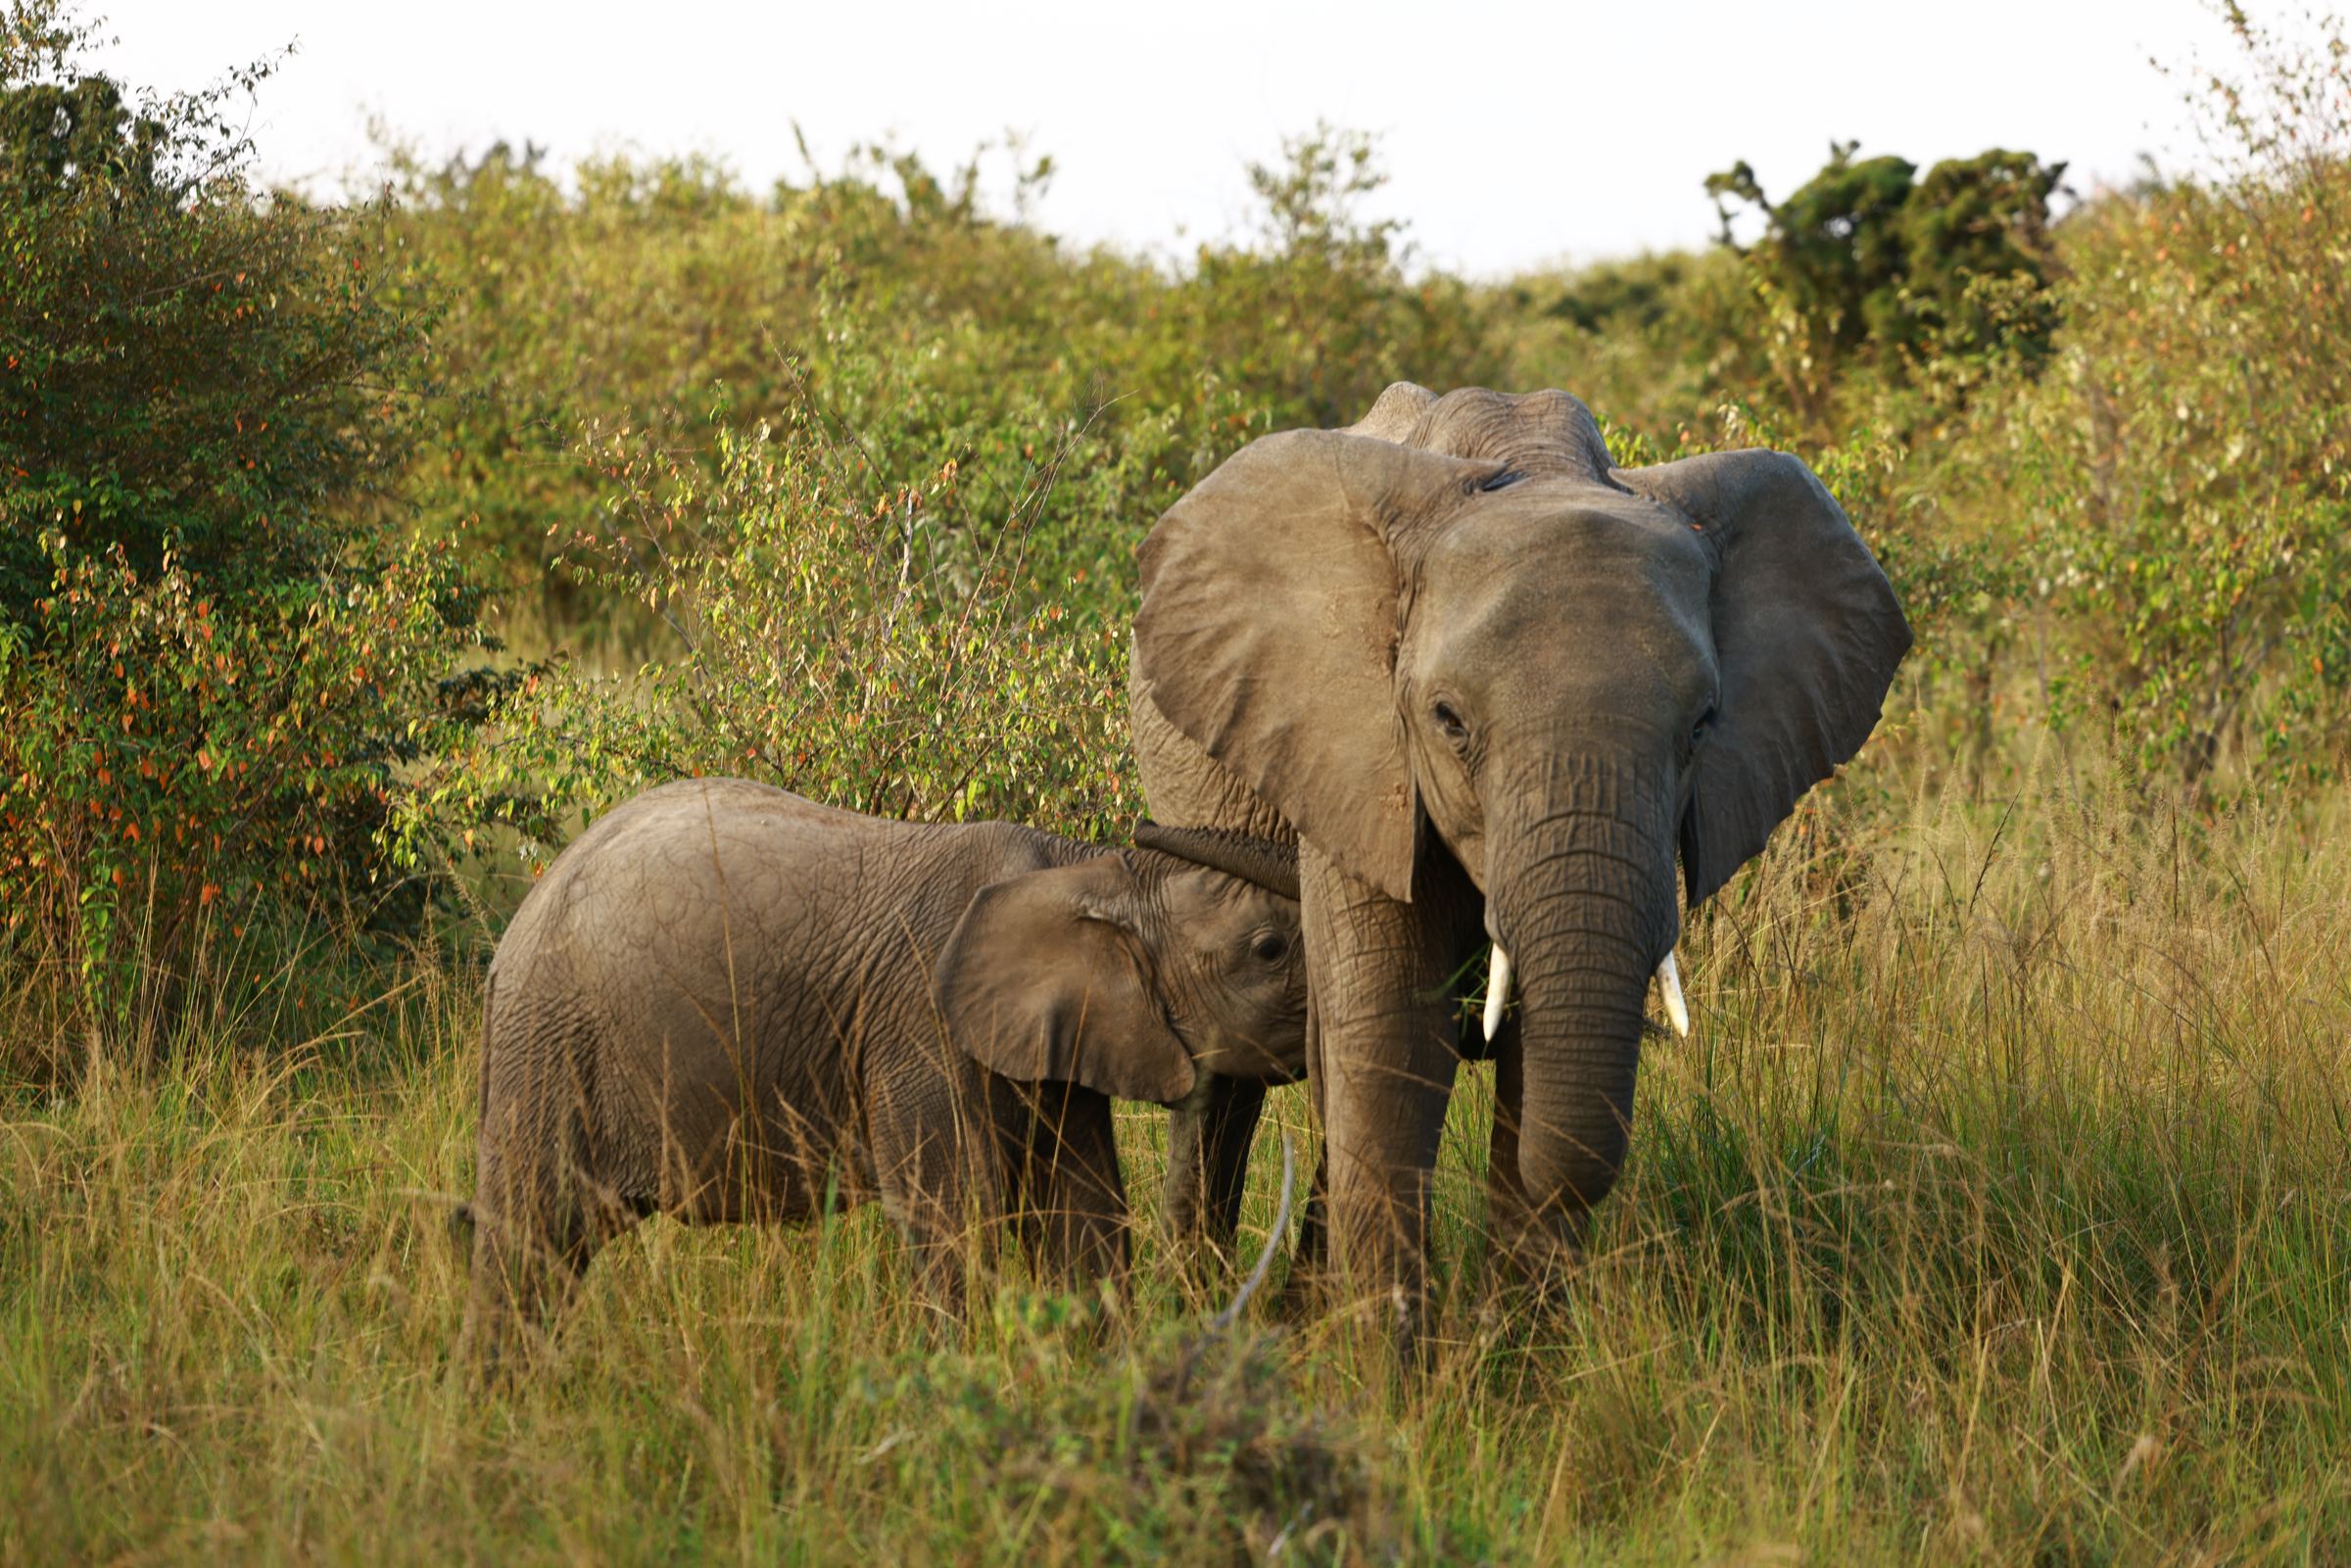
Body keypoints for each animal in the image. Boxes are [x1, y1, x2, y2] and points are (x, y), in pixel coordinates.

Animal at [458, 776, 1306, 1365]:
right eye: (1270, 949)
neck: (1086, 868)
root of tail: (511, 939)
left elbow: (1082, 1214)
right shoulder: (922, 1029)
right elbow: (955, 1217)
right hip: (552, 1040)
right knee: (531, 1237)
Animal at [1131, 383, 1910, 1354]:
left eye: (1702, 725)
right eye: (1448, 720)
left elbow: (1534, 1060)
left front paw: (1514, 1376)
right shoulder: (1356, 753)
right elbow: (1390, 1044)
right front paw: (1390, 1379)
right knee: (1231, 1078)